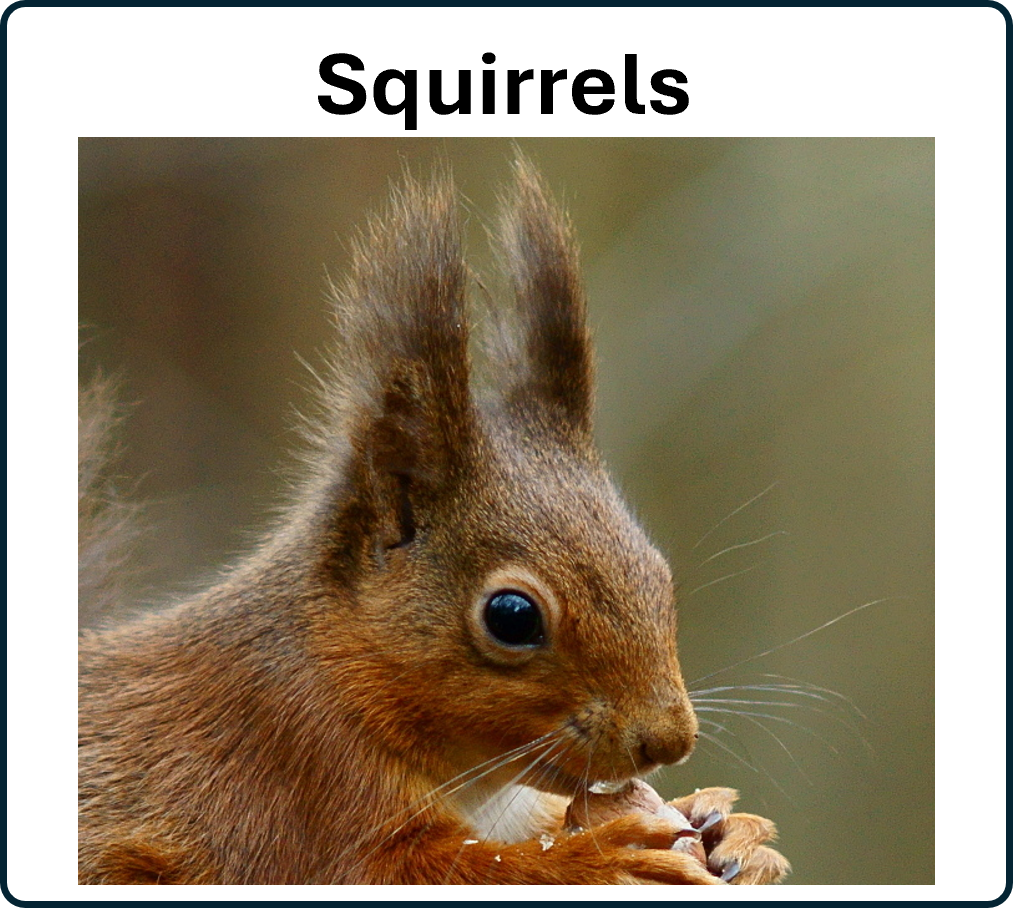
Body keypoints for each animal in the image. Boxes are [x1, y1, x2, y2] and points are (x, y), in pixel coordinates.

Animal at [78, 156, 790, 885]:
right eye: (512, 617)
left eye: (659, 574)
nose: (668, 741)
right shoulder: (293, 762)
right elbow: (405, 868)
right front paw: (599, 852)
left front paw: (732, 829)